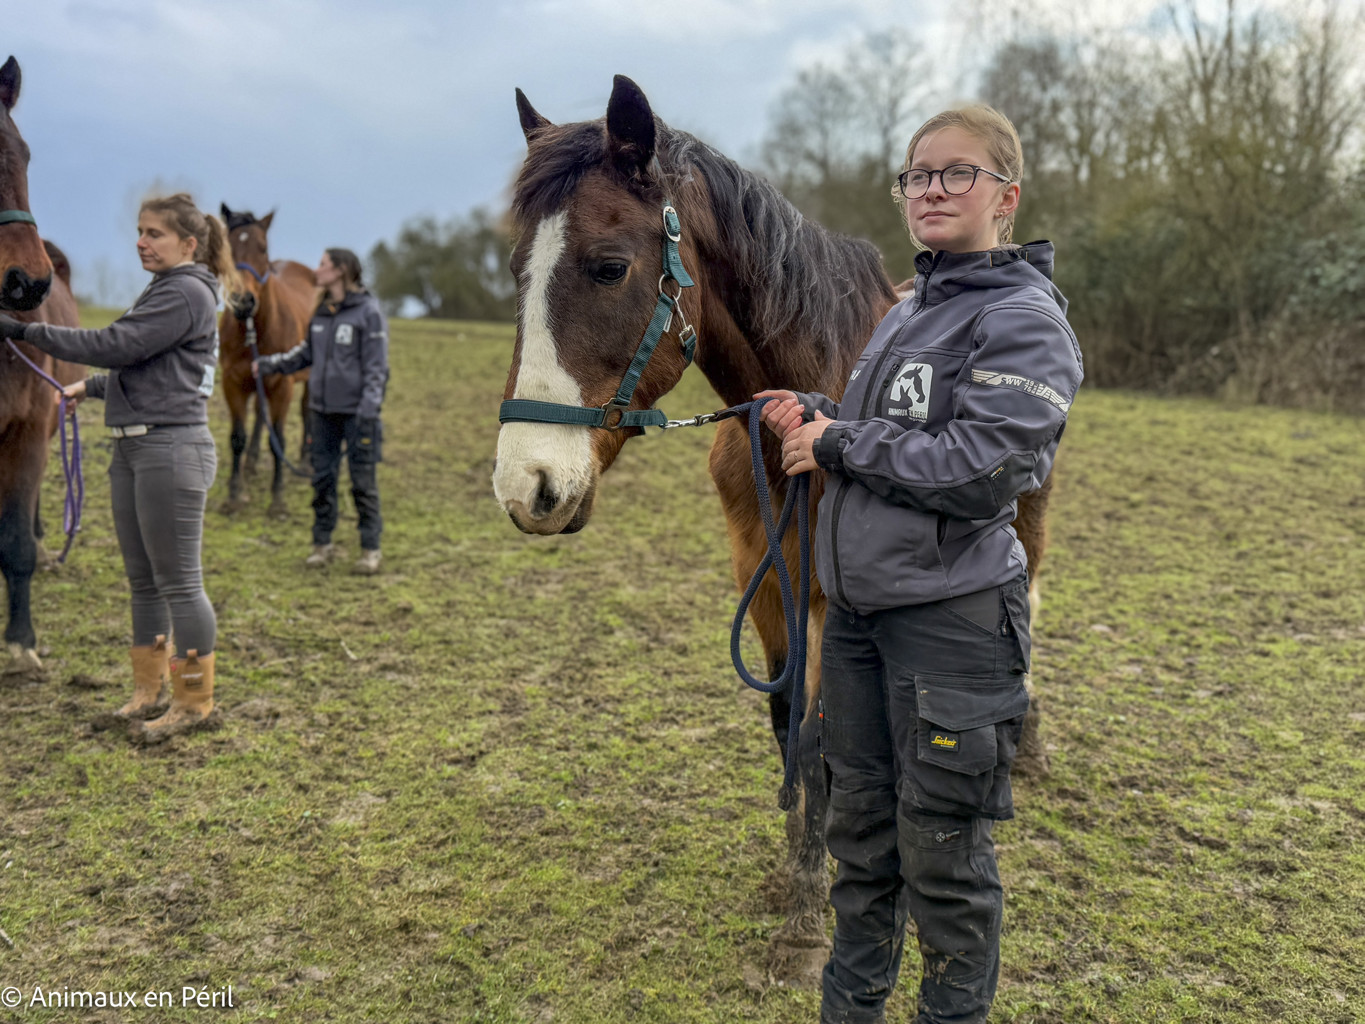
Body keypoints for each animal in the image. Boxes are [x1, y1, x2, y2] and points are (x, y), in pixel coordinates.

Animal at [218, 205, 316, 516]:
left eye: (262, 247)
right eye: (228, 248)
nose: (242, 301)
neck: (255, 329)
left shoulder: (283, 385)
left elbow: (280, 442)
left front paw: (278, 500)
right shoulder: (233, 383)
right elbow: (237, 438)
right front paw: (233, 494)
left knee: (307, 410)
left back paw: (307, 460)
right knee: (261, 416)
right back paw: (250, 463)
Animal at [491, 76, 1055, 985]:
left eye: (609, 267)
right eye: (518, 274)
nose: (527, 487)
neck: (798, 406)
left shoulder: (827, 603)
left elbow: (823, 736)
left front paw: (804, 916)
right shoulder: (760, 575)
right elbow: (787, 721)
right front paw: (797, 869)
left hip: (1023, 534)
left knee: (1025, 615)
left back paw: (1025, 746)